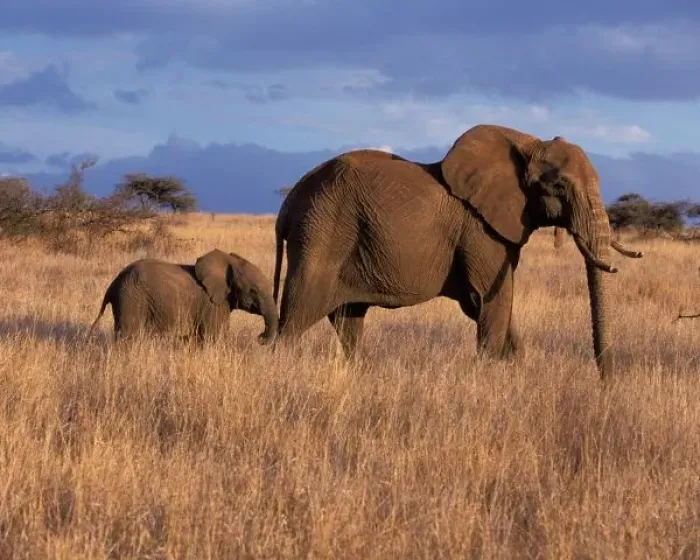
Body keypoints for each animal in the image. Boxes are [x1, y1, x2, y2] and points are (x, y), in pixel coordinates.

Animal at [89, 248, 278, 344]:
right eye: (253, 291)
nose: (260, 337)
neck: (229, 262)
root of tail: (113, 283)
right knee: (128, 334)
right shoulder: (212, 304)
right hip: (131, 297)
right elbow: (215, 336)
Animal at [271, 124, 644, 378]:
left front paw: (514, 368)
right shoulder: (480, 231)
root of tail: (288, 204)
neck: (526, 143)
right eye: (559, 186)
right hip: (322, 232)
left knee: (349, 321)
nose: (607, 383)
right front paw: (492, 375)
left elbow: (493, 304)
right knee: (296, 317)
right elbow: (491, 300)